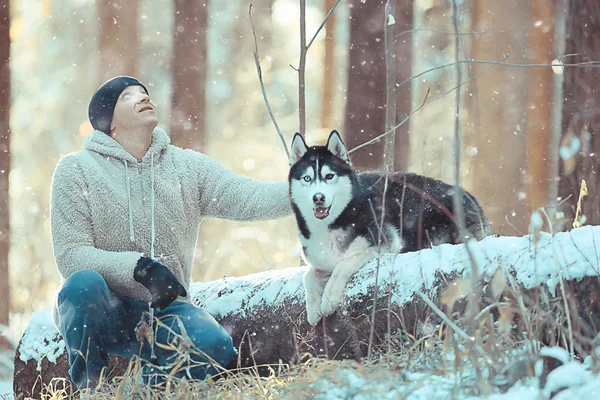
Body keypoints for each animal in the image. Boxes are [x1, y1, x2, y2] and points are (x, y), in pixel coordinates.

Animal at [290, 131, 492, 324]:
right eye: (307, 178)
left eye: (329, 176)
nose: (318, 197)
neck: (337, 219)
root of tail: (471, 197)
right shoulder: (319, 259)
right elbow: (308, 275)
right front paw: (313, 308)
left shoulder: (386, 242)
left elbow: (342, 265)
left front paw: (328, 298)